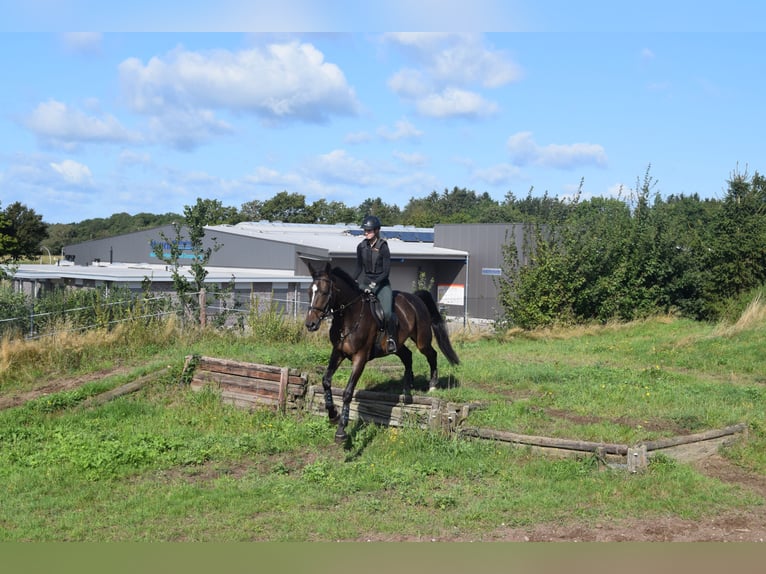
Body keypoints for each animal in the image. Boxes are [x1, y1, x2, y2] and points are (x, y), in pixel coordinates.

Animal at [304, 264, 462, 444]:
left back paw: (432, 385)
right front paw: (332, 415)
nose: (310, 324)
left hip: (422, 340)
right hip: (397, 344)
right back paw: (407, 388)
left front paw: (341, 431)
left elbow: (348, 392)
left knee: (432, 354)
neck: (348, 317)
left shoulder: (360, 357)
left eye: (324, 292)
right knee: (408, 356)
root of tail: (415, 298)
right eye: (309, 292)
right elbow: (326, 381)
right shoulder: (338, 352)